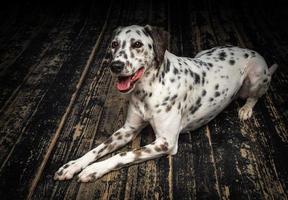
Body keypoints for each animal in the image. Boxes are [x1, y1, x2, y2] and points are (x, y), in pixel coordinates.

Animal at [53, 24, 276, 182]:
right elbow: (98, 148)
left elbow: (124, 154)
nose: (115, 65)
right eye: (114, 44)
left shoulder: (165, 142)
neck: (147, 90)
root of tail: (246, 49)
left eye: (137, 44)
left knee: (256, 95)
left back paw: (246, 109)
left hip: (256, 76)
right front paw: (73, 165)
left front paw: (94, 169)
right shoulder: (127, 129)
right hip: (202, 53)